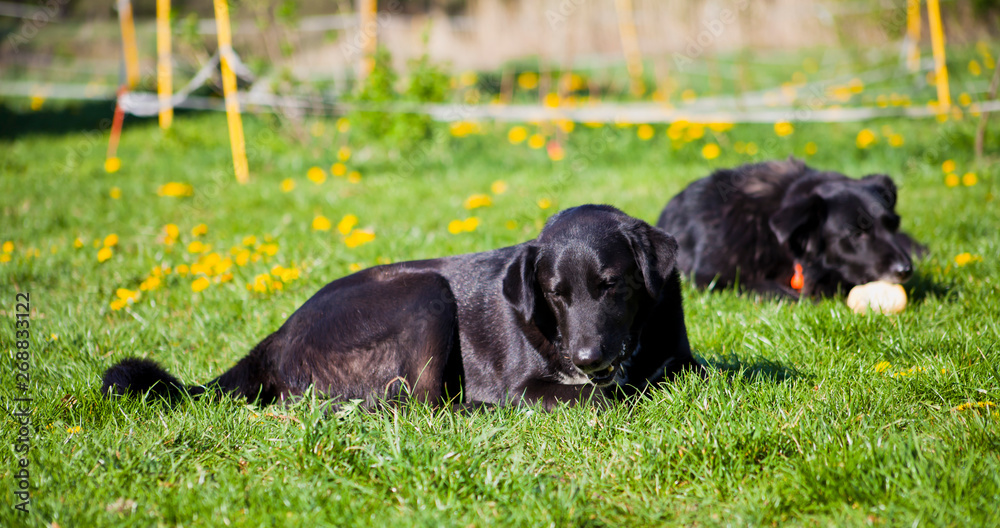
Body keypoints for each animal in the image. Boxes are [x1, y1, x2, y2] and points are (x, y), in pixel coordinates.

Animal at [105, 205, 704, 408]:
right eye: (556, 294)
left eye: (612, 285)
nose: (586, 359)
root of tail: (276, 336)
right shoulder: (528, 386)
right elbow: (607, 398)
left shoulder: (680, 359)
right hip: (426, 292)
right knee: (421, 407)